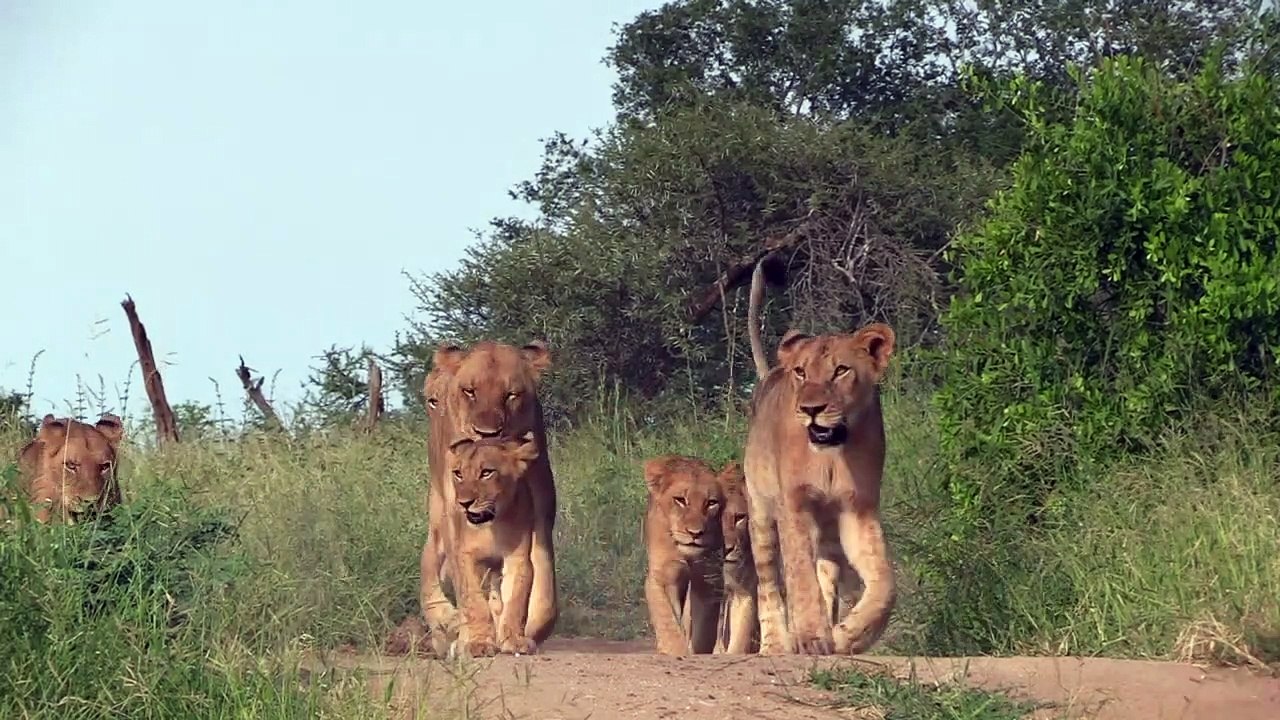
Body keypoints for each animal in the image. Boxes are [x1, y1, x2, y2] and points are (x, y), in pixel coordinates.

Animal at [442, 431, 541, 657]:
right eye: (458, 474)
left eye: (487, 472)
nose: (464, 503)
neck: (492, 526)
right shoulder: (467, 558)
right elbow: (476, 602)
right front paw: (479, 643)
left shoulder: (518, 559)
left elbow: (515, 600)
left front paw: (513, 640)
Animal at [642, 455, 728, 656]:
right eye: (680, 500)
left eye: (711, 503)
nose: (695, 533)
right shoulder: (662, 575)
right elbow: (666, 617)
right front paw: (674, 649)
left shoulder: (707, 577)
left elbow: (703, 624)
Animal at [741, 259, 897, 656]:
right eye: (801, 372)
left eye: (841, 370)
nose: (811, 409)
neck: (831, 455)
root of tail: (769, 373)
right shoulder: (793, 505)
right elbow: (799, 577)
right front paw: (811, 636)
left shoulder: (858, 508)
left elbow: (885, 582)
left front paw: (848, 635)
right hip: (760, 514)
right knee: (769, 583)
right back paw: (776, 643)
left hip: (828, 532)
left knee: (826, 572)